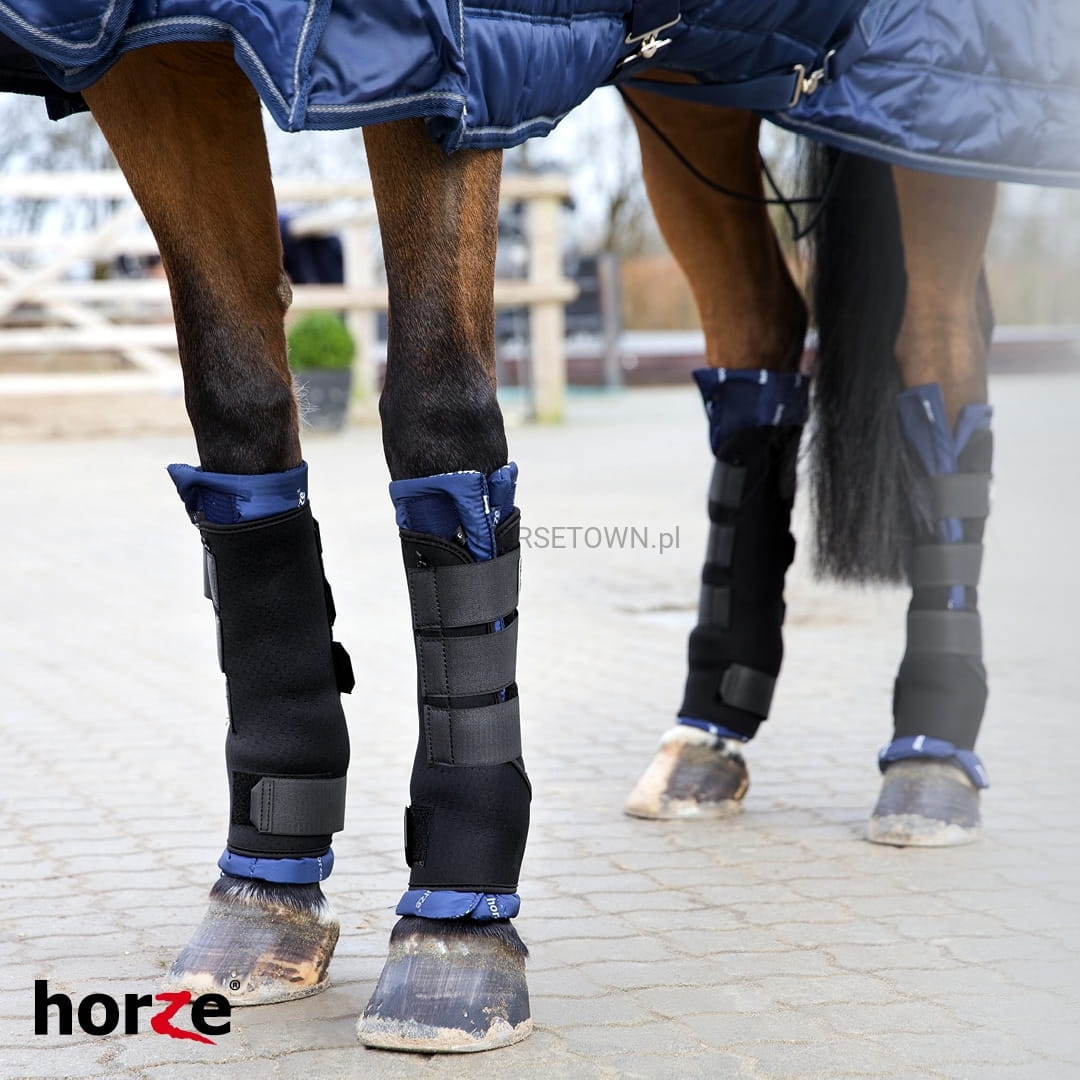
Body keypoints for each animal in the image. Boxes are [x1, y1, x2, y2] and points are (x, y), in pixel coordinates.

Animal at [1, 0, 1075, 1057]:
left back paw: (931, 754)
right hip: (693, 89)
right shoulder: (150, 56)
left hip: (940, 111)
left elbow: (436, 409)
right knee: (760, 345)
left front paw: (453, 932)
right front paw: (263, 893)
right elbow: (237, 412)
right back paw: (708, 732)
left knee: (941, 358)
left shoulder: (451, 71)